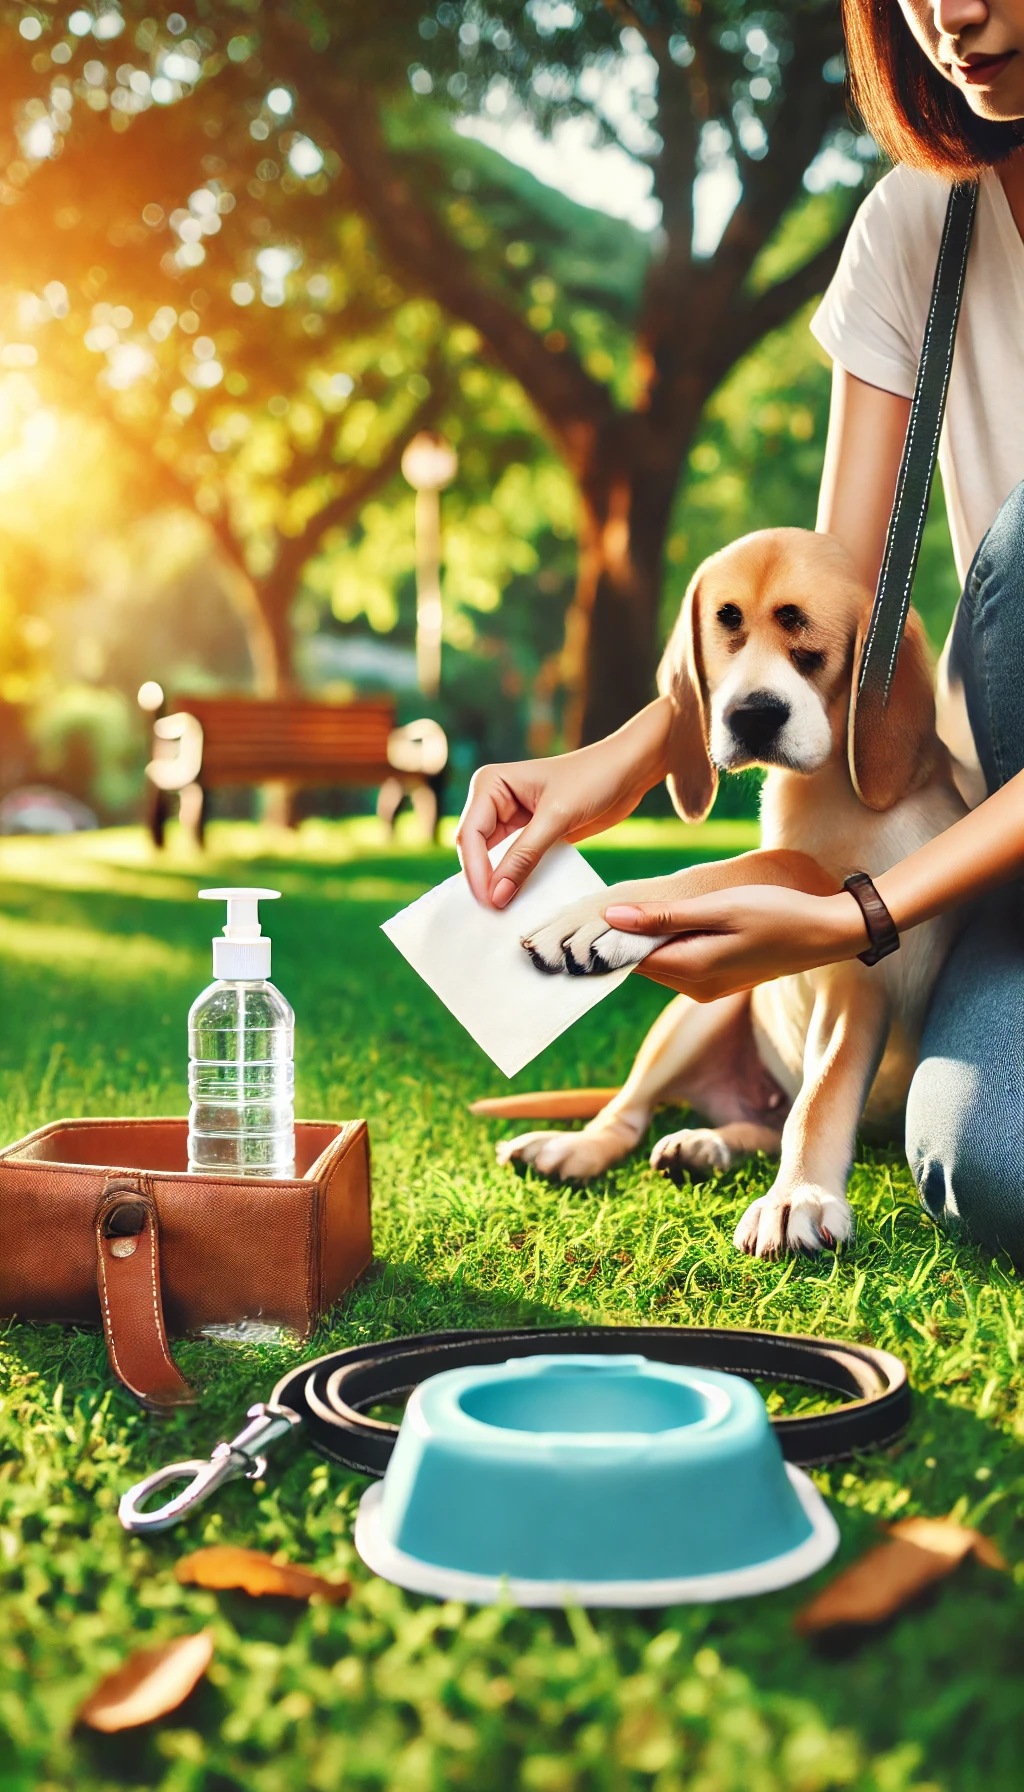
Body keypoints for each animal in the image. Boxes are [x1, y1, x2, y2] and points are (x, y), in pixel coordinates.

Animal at [502, 526, 968, 1261]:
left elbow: (818, 1093)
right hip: (696, 1018)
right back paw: (588, 1147)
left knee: (771, 1122)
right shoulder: (846, 974)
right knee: (629, 1112)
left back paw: (709, 1146)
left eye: (807, 635)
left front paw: (797, 1196)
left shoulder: (859, 972)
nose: (753, 717)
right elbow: (774, 863)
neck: (830, 792)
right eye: (727, 626)